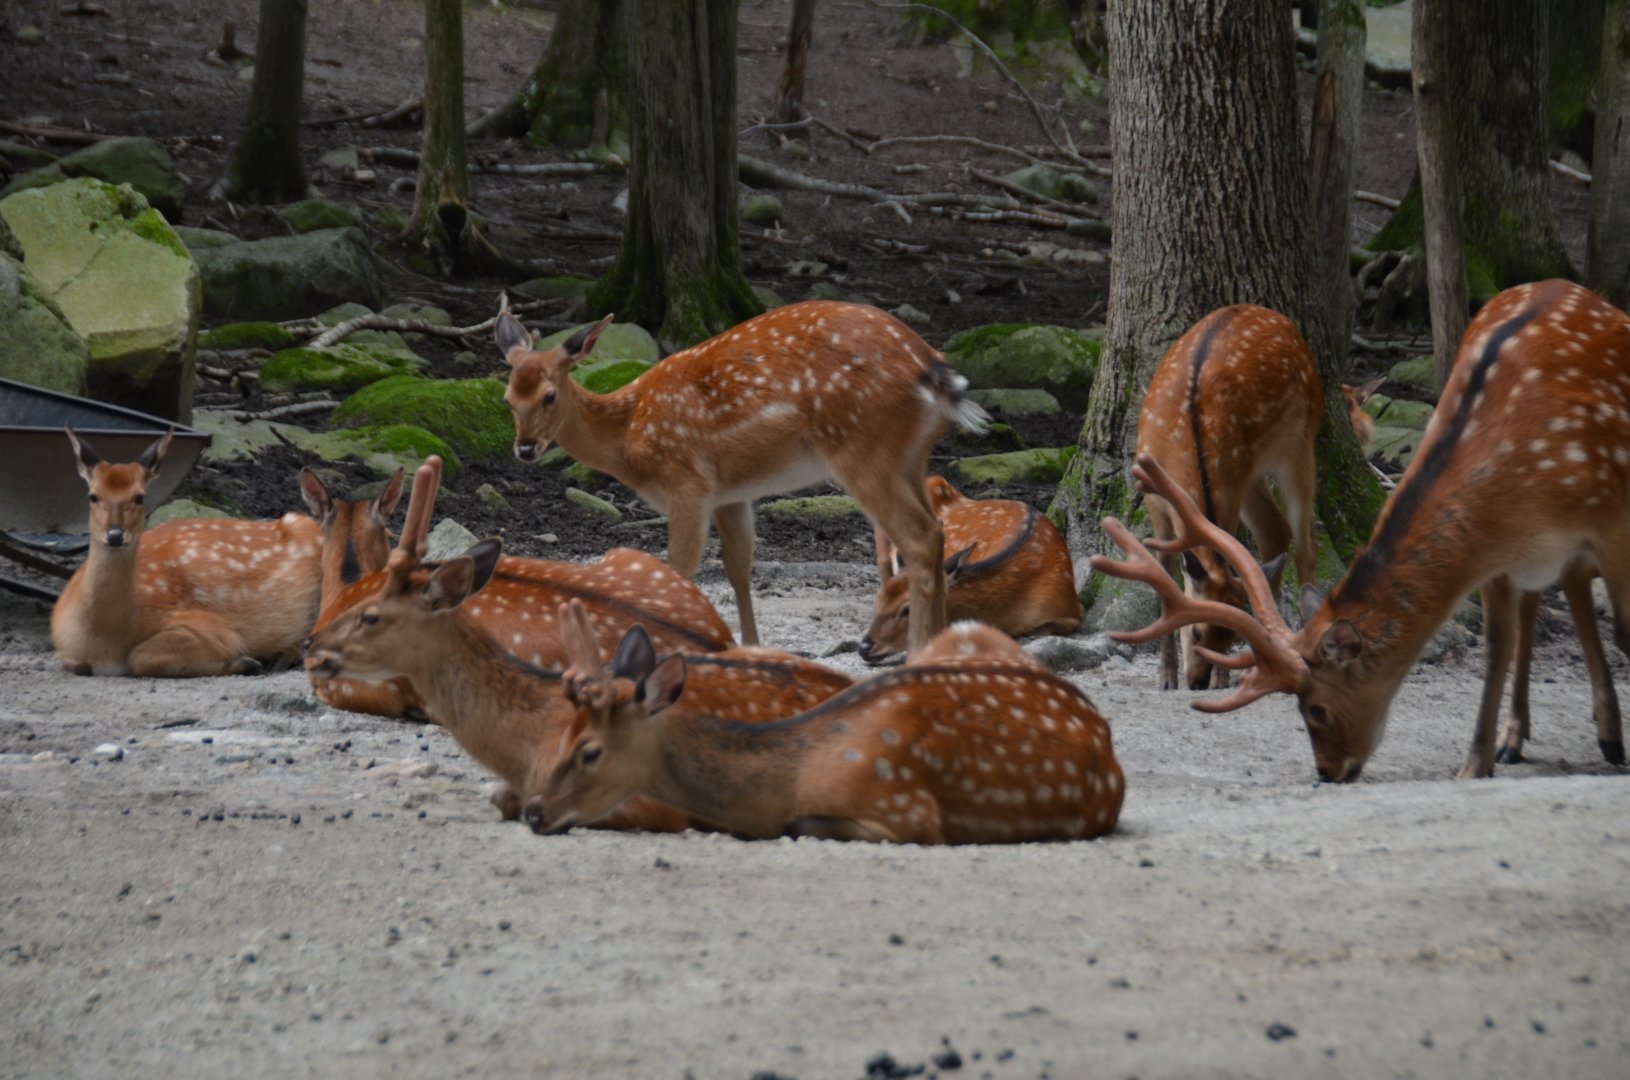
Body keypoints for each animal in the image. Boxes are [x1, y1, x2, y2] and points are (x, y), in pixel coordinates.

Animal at [52, 428, 325, 677]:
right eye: (93, 496)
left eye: (140, 497)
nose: (115, 535)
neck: (102, 641)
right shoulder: (66, 651)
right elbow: (78, 665)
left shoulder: (213, 628)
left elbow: (140, 657)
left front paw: (246, 662)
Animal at [494, 300, 990, 654]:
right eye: (507, 399)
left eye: (549, 396)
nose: (524, 448)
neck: (630, 438)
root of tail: (933, 370)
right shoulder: (730, 494)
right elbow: (738, 570)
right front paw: (750, 648)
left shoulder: (687, 482)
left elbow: (677, 568)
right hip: (912, 455)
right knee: (939, 531)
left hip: (861, 448)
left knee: (920, 537)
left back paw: (920, 651)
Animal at [527, 607, 1125, 844]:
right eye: (561, 733)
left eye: (589, 751)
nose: (534, 811)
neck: (793, 776)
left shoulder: (905, 813)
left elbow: (798, 825)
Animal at [1134, 305, 1322, 692]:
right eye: (1196, 632)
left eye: (1230, 637)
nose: (1198, 682)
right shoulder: (1152, 494)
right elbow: (1164, 569)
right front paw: (1166, 676)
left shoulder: (1229, 485)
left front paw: (1221, 677)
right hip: (1251, 470)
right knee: (1275, 531)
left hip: (1300, 440)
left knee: (1305, 540)